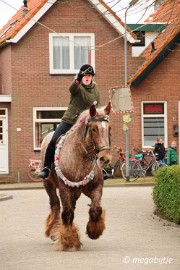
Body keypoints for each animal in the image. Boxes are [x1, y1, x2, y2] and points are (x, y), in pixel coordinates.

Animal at [41, 103, 112, 251]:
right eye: (93, 129)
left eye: (109, 128)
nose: (105, 158)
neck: (81, 156)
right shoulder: (65, 189)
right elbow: (67, 213)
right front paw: (68, 239)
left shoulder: (96, 187)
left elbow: (95, 209)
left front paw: (93, 231)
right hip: (49, 185)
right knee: (55, 205)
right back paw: (53, 230)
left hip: (75, 192)